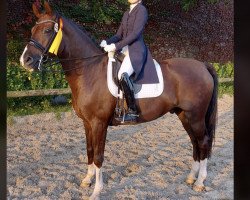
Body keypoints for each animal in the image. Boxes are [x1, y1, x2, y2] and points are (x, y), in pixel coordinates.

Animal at [20, 1, 218, 200]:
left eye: (47, 30)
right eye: (33, 29)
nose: (25, 60)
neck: (89, 70)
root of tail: (202, 65)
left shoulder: (99, 123)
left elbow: (99, 156)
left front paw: (96, 191)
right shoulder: (87, 123)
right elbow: (89, 151)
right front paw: (87, 180)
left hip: (195, 116)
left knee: (203, 142)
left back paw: (200, 182)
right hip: (184, 115)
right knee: (195, 142)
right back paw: (191, 178)